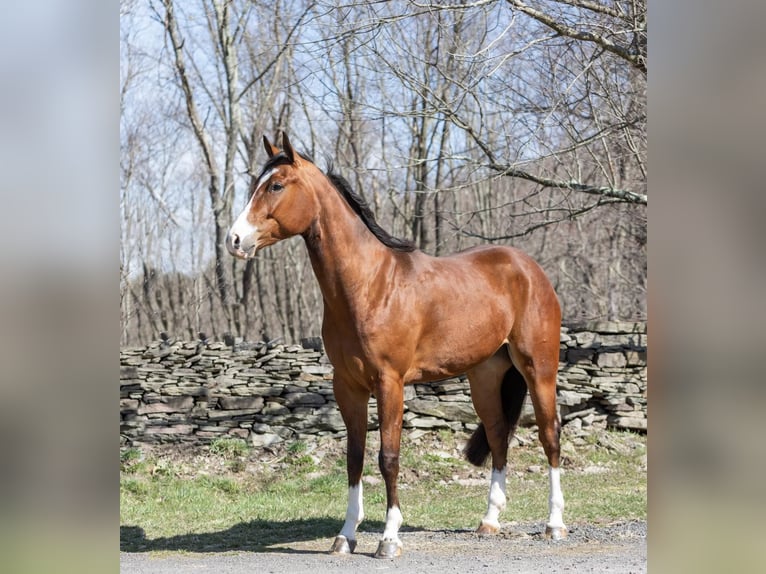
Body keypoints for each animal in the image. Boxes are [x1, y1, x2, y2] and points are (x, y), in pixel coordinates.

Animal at [225, 134, 568, 560]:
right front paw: (346, 536)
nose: (234, 240)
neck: (369, 285)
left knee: (549, 435)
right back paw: (489, 521)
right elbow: (354, 458)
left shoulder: (390, 383)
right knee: (498, 434)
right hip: (486, 376)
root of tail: (529, 269)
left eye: (275, 185)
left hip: (538, 368)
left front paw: (388, 538)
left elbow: (388, 457)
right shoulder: (348, 387)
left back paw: (555, 525)